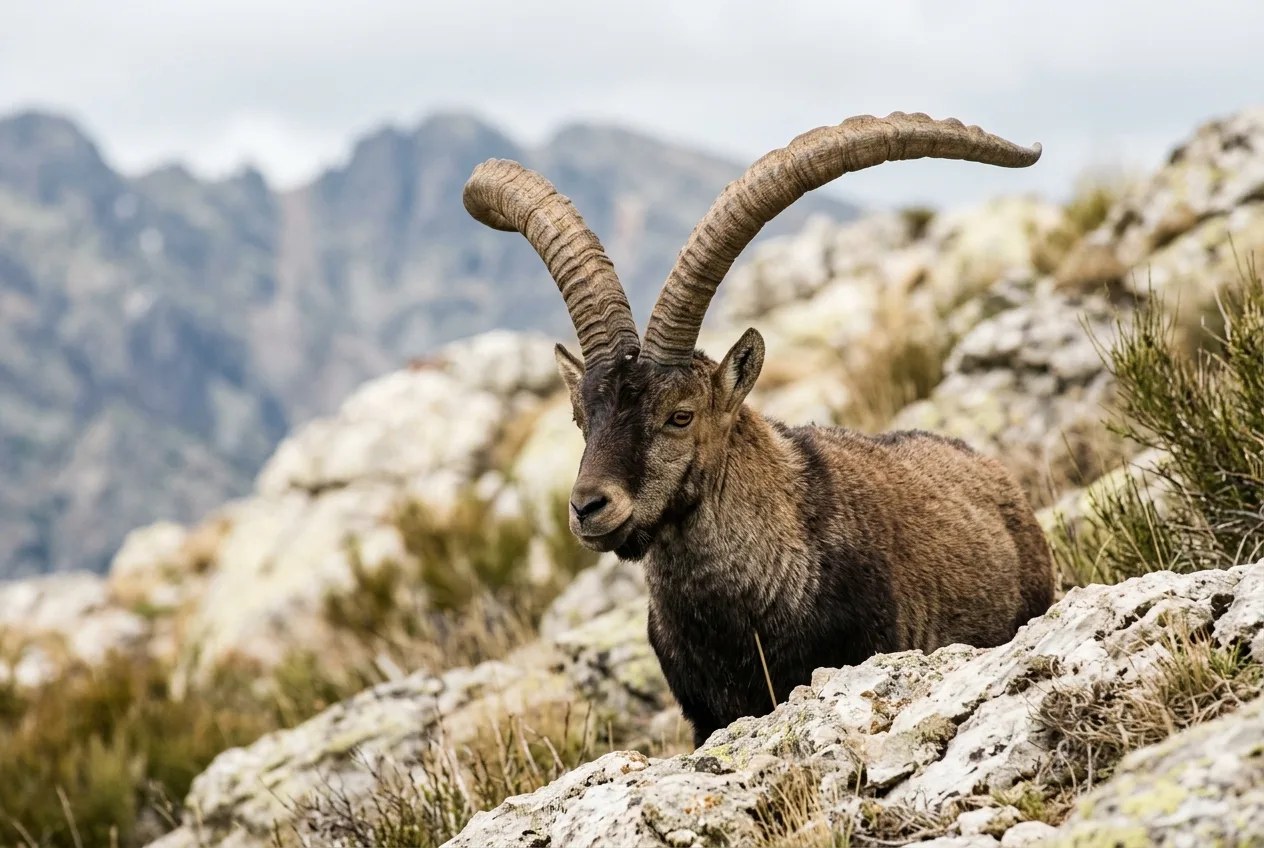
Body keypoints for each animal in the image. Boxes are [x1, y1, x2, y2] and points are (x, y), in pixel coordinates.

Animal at [463, 112, 1057, 748]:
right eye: (581, 417)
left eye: (680, 414)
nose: (589, 507)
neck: (741, 613)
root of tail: (1001, 483)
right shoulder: (705, 716)